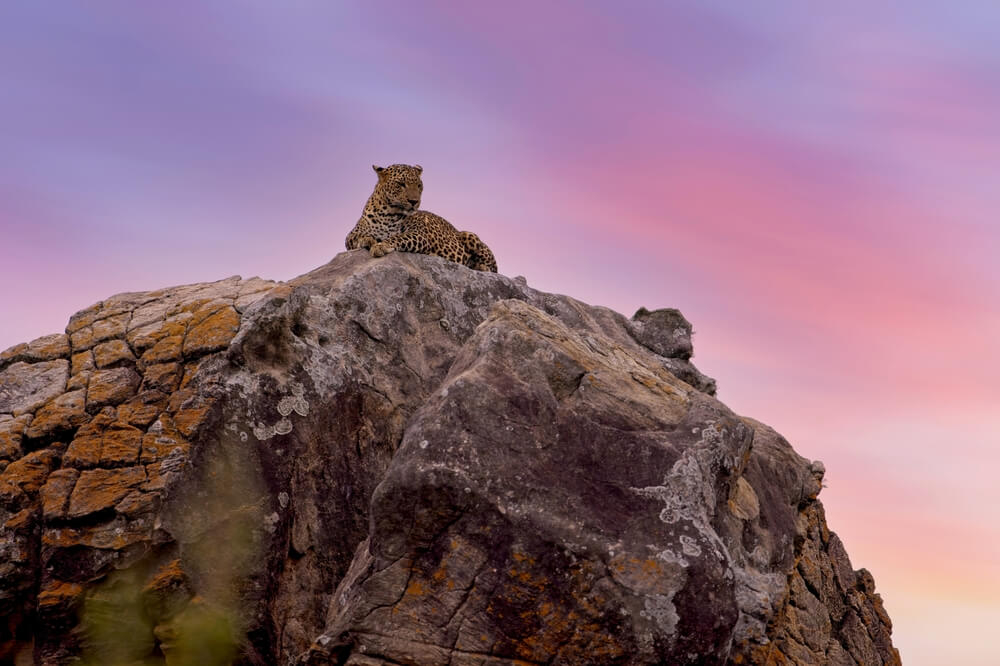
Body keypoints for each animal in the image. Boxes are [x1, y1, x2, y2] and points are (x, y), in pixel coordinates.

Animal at [346, 165, 498, 272]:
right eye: (401, 184)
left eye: (419, 185)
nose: (414, 201)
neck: (387, 213)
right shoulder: (351, 235)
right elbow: (357, 237)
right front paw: (368, 240)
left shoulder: (419, 234)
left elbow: (398, 237)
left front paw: (381, 246)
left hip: (470, 236)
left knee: (493, 268)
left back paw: (479, 267)